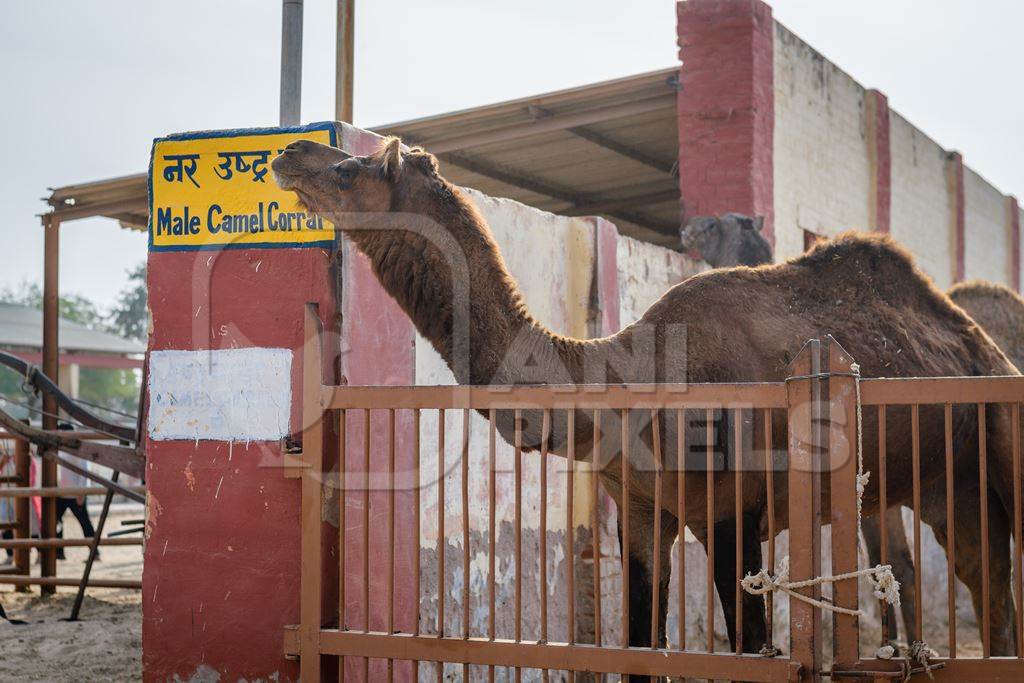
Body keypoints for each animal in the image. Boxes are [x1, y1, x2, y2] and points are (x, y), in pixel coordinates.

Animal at [274, 137, 1024, 667]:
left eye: (354, 169)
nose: (290, 152)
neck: (623, 383)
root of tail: (982, 346)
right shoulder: (638, 511)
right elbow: (638, 646)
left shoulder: (732, 513)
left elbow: (751, 648)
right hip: (939, 484)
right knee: (984, 592)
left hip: (994, 453)